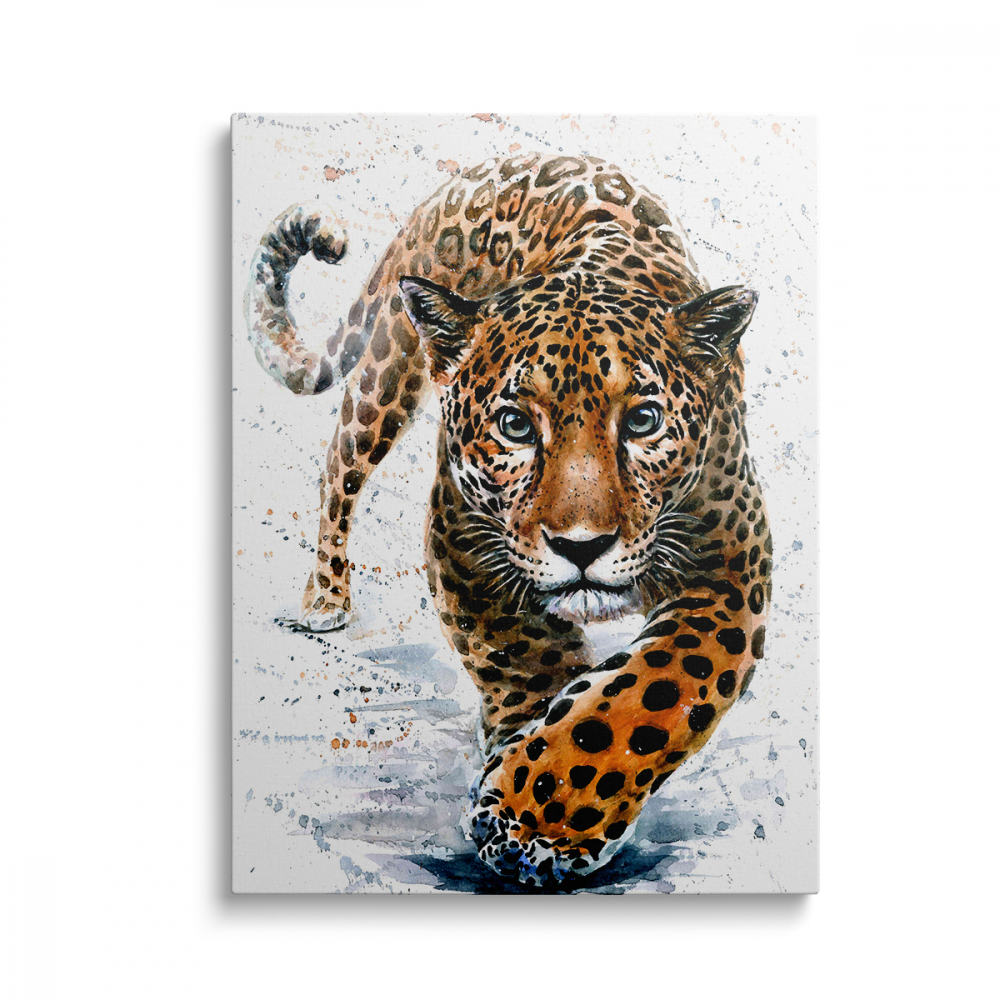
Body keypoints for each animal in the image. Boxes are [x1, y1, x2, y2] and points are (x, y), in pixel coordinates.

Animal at [244, 151, 772, 888]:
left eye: (643, 420)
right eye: (516, 425)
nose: (582, 545)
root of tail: (484, 167)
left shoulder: (729, 571)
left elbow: (651, 692)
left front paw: (541, 817)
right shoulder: (464, 544)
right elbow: (526, 660)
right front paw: (529, 801)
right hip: (387, 371)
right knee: (338, 468)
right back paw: (325, 597)